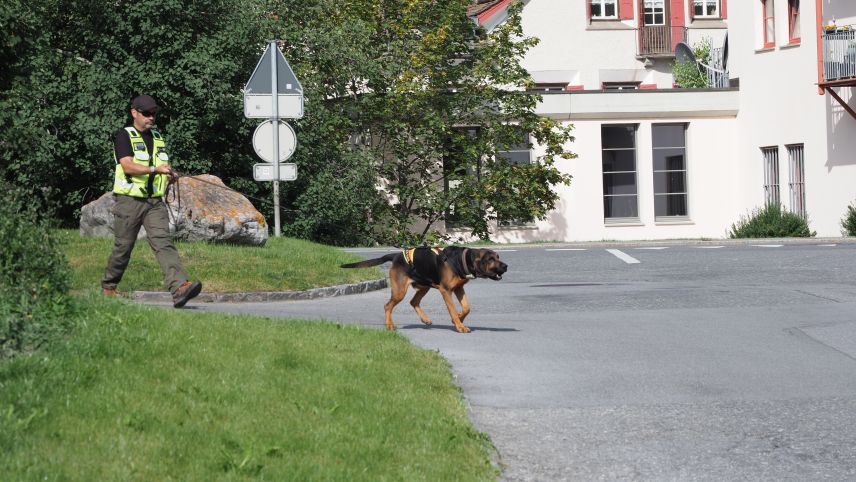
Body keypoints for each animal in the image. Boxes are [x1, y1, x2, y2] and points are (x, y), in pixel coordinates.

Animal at [340, 247, 504, 334]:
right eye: (491, 259)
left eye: (498, 257)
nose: (506, 266)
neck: (461, 259)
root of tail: (396, 255)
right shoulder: (446, 291)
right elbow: (452, 309)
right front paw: (459, 325)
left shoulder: (458, 288)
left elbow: (466, 307)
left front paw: (458, 319)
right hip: (400, 291)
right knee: (388, 306)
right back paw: (389, 325)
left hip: (424, 285)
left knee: (413, 302)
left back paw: (425, 319)